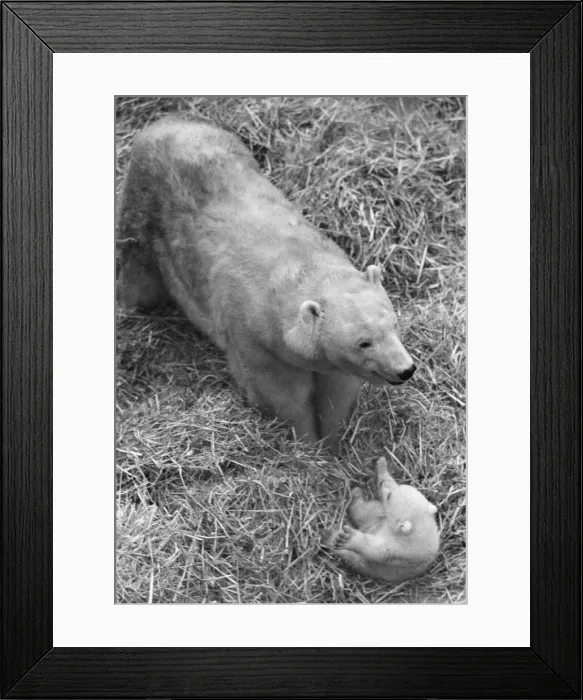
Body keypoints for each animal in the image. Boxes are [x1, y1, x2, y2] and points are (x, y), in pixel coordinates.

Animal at [116, 117, 417, 450]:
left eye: (394, 324)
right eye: (363, 341)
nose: (405, 369)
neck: (294, 266)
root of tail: (163, 122)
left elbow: (336, 390)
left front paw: (332, 440)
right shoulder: (254, 340)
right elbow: (281, 395)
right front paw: (305, 443)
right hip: (144, 213)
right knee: (138, 277)